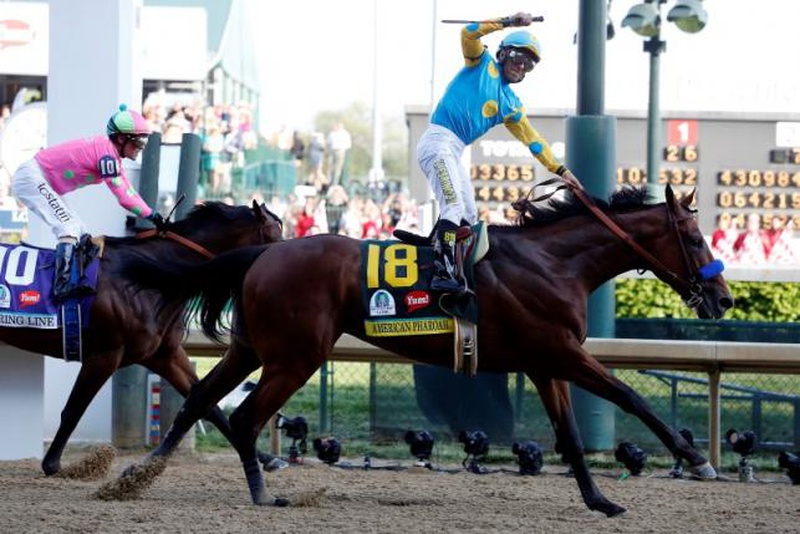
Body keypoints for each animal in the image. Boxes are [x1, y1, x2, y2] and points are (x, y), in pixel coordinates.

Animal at [3, 201, 282, 478]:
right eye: (274, 235)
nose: (277, 270)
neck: (145, 277)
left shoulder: (164, 355)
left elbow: (207, 403)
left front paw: (268, 458)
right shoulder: (105, 355)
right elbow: (74, 408)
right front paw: (52, 463)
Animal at [120, 186, 732, 516]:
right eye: (695, 238)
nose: (723, 298)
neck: (554, 263)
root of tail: (262, 255)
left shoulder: (546, 363)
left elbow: (573, 437)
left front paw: (600, 500)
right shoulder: (561, 353)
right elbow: (632, 397)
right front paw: (696, 458)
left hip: (252, 349)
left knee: (201, 396)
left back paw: (139, 474)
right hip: (296, 356)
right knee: (246, 416)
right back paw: (262, 494)